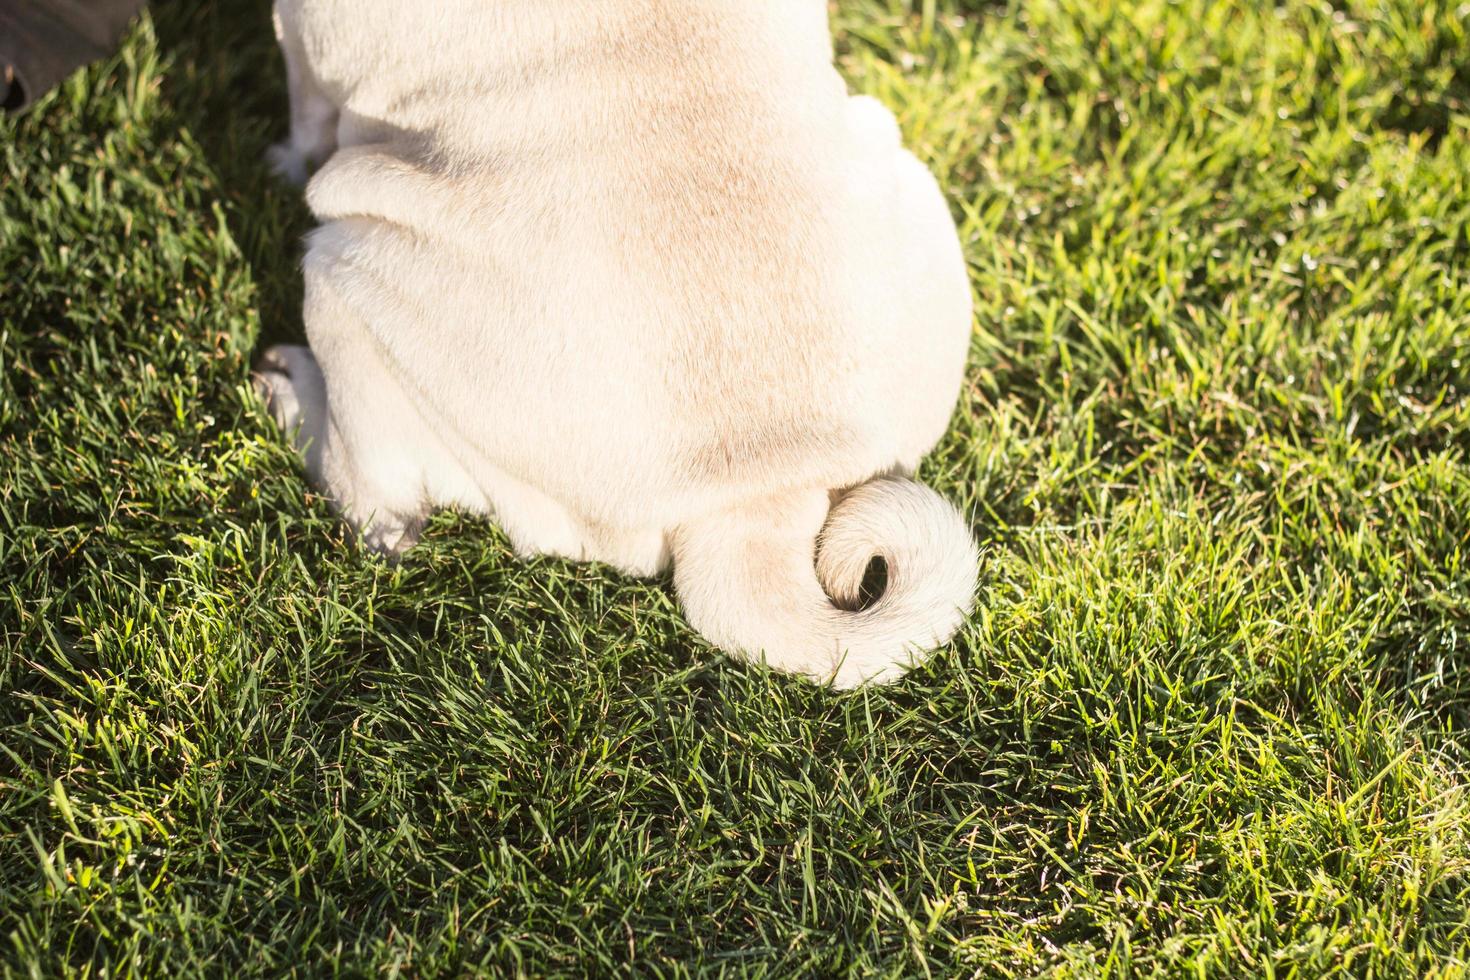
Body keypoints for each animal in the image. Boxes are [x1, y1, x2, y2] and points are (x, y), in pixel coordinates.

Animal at [255, 1, 976, 690]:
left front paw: (285, 163)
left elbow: (306, 113)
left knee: (375, 502)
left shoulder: (303, 33)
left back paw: (288, 394)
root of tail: (758, 497)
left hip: (340, 276)